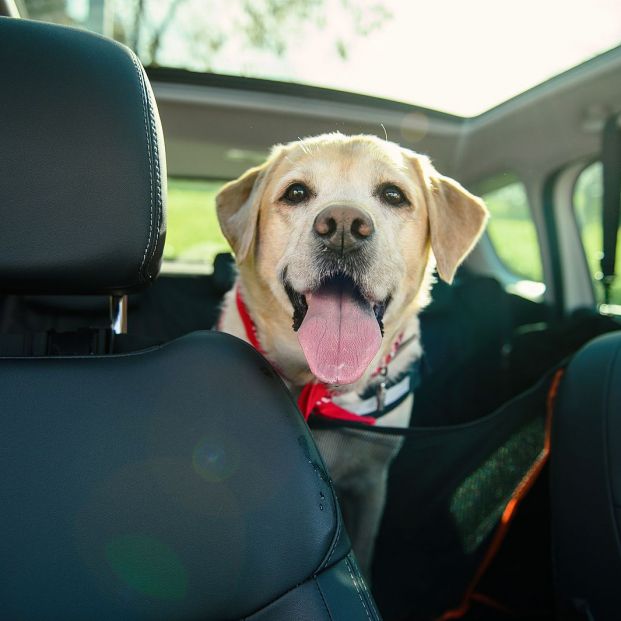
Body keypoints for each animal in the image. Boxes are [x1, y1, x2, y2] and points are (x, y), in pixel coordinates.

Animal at [216, 132, 486, 576]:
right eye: (296, 192)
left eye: (393, 195)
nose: (343, 224)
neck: (321, 385)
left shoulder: (372, 481)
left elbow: (365, 541)